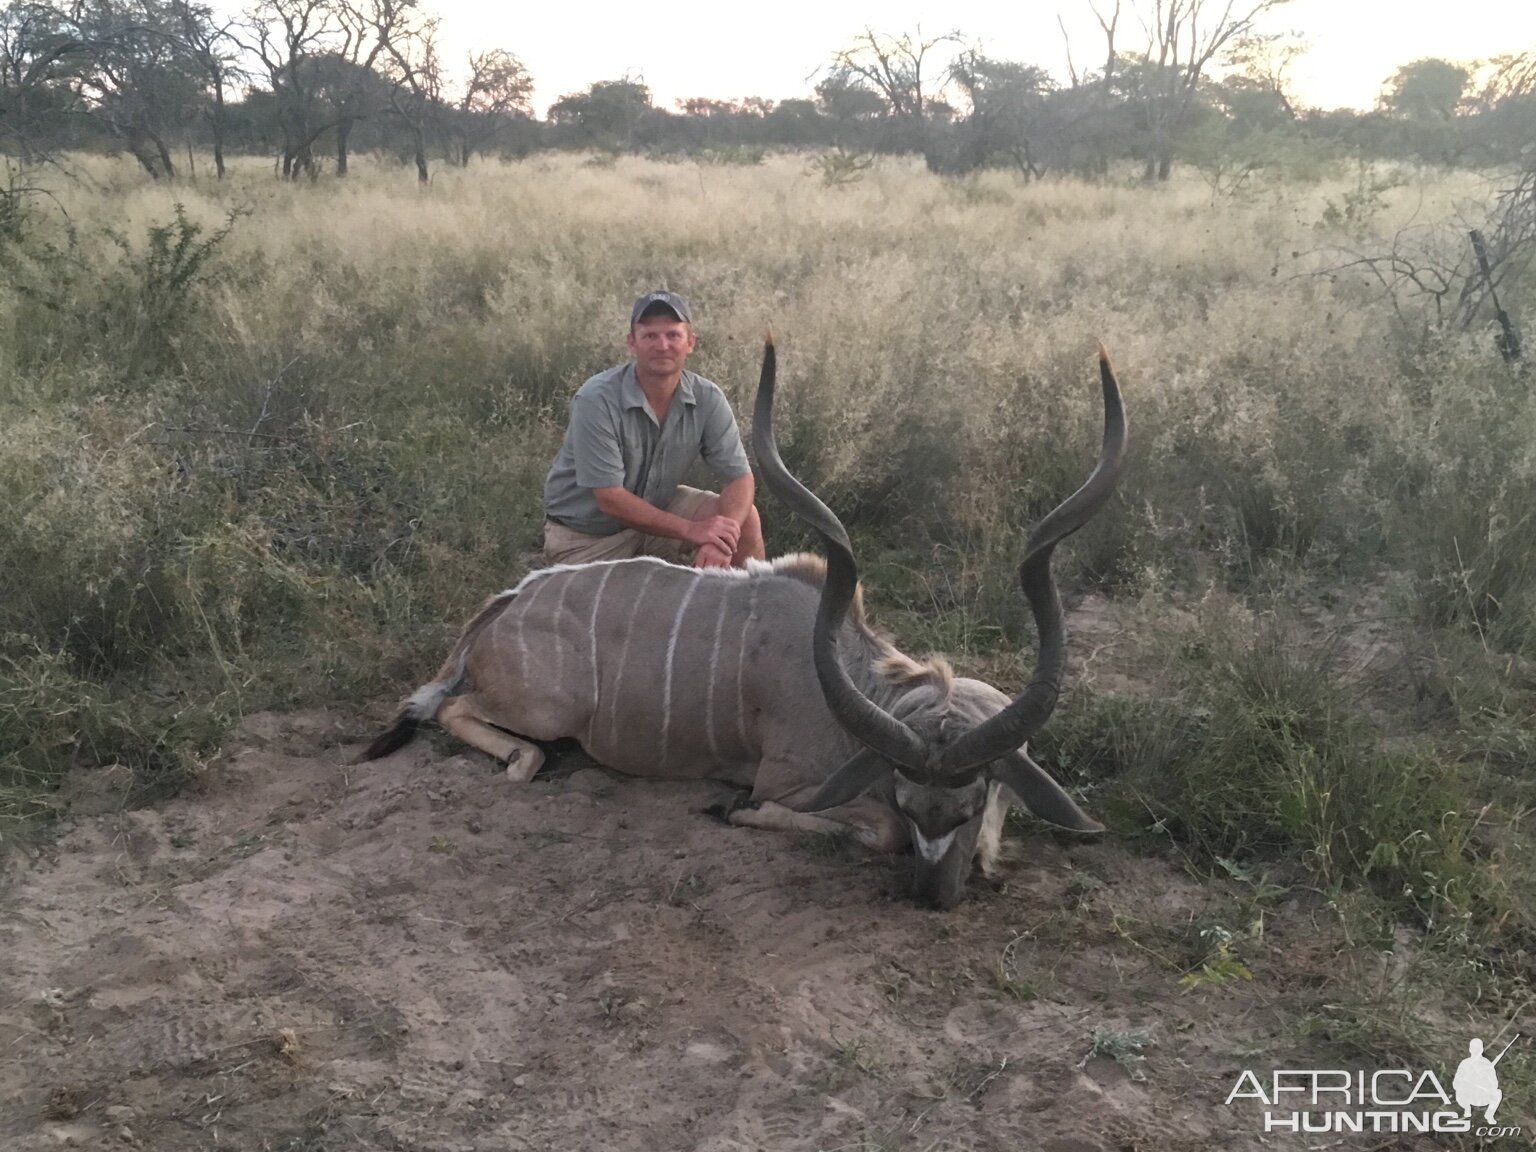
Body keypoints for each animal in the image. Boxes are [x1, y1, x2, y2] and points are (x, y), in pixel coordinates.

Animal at [362, 342, 1130, 909]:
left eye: (971, 806)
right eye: (913, 804)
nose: (931, 898)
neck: (861, 682)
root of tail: (504, 607)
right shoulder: (791, 785)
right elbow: (863, 827)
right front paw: (728, 809)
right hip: (548, 711)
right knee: (464, 715)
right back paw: (528, 758)